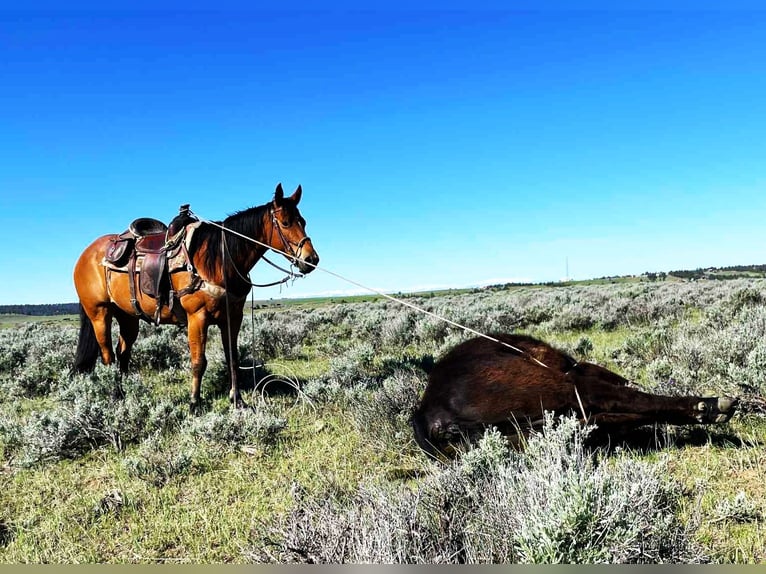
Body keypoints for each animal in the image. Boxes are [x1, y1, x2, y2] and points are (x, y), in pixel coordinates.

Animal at [72, 183, 319, 409]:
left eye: (303, 221)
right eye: (285, 222)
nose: (311, 259)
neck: (219, 260)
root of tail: (85, 255)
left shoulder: (232, 318)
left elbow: (232, 358)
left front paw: (237, 400)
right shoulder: (197, 317)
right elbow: (198, 361)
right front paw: (194, 402)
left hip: (128, 316)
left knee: (122, 354)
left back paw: (121, 394)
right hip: (99, 314)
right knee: (107, 356)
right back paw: (113, 396)